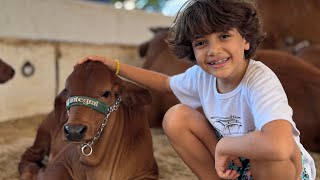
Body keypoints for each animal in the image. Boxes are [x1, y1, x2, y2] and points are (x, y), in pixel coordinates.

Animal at [18, 61, 158, 179]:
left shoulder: (148, 172)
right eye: (68, 91)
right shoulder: (58, 165)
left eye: (106, 93)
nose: (74, 131)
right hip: (43, 133)